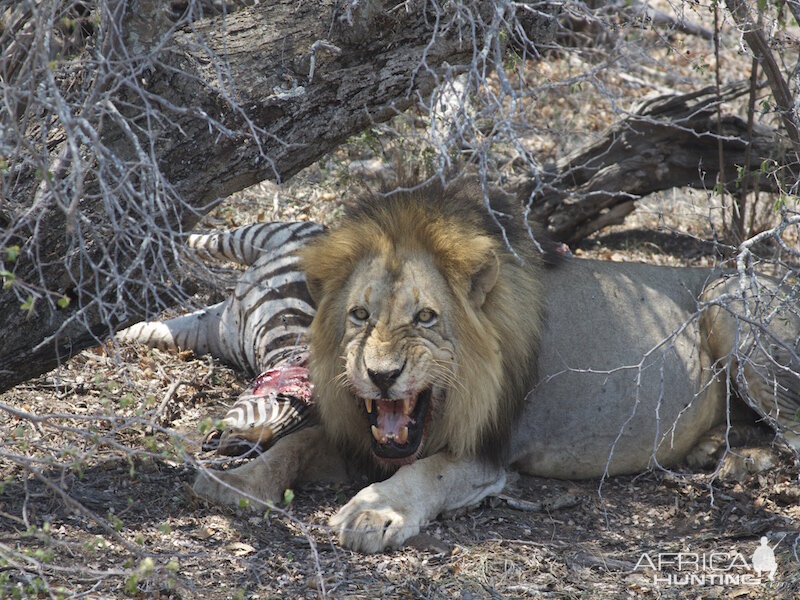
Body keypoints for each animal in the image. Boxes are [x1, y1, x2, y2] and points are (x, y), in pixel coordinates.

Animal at [195, 177, 800, 552]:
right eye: (359, 315)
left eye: (426, 317)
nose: (383, 376)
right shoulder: (359, 440)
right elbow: (295, 444)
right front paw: (233, 481)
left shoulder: (488, 453)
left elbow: (426, 471)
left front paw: (372, 513)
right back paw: (714, 448)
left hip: (725, 297)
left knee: (791, 438)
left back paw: (738, 463)